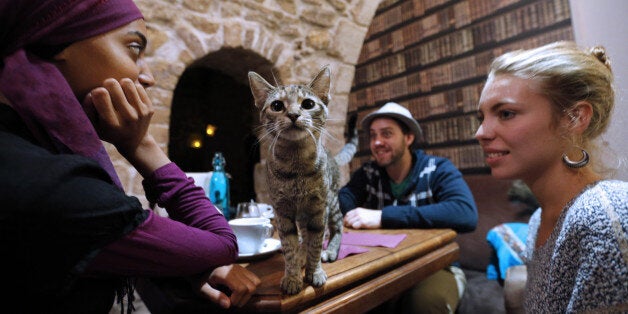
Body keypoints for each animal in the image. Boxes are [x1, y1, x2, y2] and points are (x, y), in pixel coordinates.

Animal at [249, 65, 358, 294]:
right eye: (277, 105)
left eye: (308, 104)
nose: (293, 114)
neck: (296, 166)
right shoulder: (283, 212)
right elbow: (289, 246)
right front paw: (292, 276)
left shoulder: (318, 209)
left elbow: (316, 244)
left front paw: (314, 271)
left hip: (331, 203)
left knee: (337, 228)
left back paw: (330, 250)